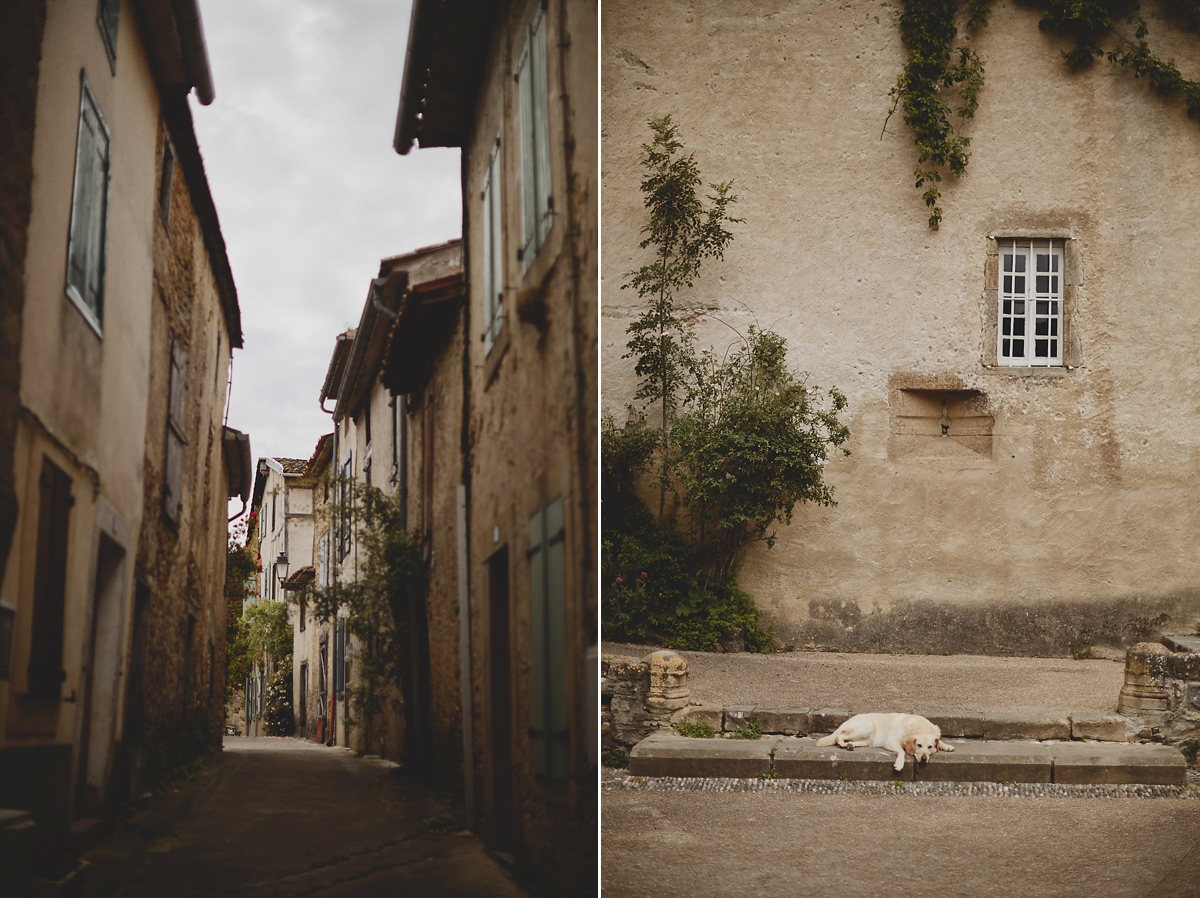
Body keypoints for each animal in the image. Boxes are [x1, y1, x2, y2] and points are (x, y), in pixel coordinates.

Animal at [816, 715, 955, 773]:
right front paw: (899, 764)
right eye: (919, 745)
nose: (924, 759)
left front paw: (946, 746)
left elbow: (939, 740)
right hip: (865, 726)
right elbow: (902, 751)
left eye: (929, 747)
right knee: (838, 736)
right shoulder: (890, 742)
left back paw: (850, 745)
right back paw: (842, 743)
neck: (919, 726)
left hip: (867, 739)